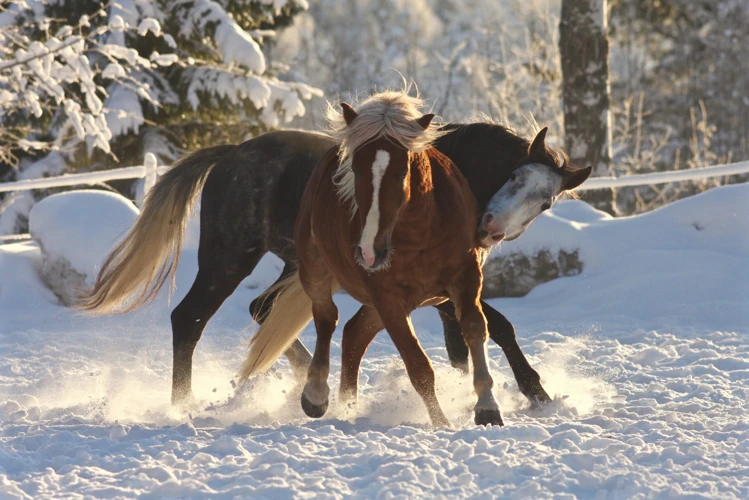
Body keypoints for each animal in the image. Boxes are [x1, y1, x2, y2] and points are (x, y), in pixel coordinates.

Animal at [241, 91, 502, 426]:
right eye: (355, 169)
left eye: (403, 171)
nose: (369, 251)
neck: (421, 234)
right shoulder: (387, 297)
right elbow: (417, 365)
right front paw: (441, 423)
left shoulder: (466, 278)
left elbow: (473, 328)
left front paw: (487, 407)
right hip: (318, 271)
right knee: (327, 319)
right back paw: (317, 395)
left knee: (353, 335)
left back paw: (347, 405)